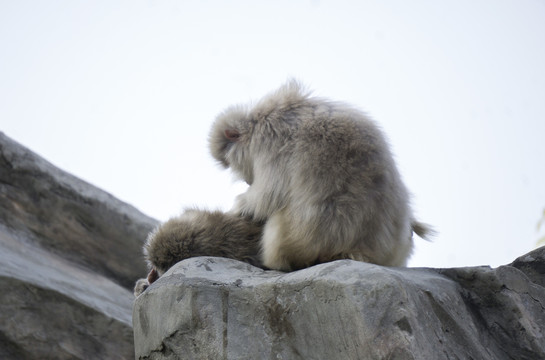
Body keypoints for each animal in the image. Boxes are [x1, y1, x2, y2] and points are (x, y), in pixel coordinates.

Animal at [208, 79, 430, 270]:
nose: (246, 180)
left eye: (229, 163)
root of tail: (361, 252)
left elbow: (268, 195)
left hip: (299, 240)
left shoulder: (268, 143)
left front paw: (240, 206)